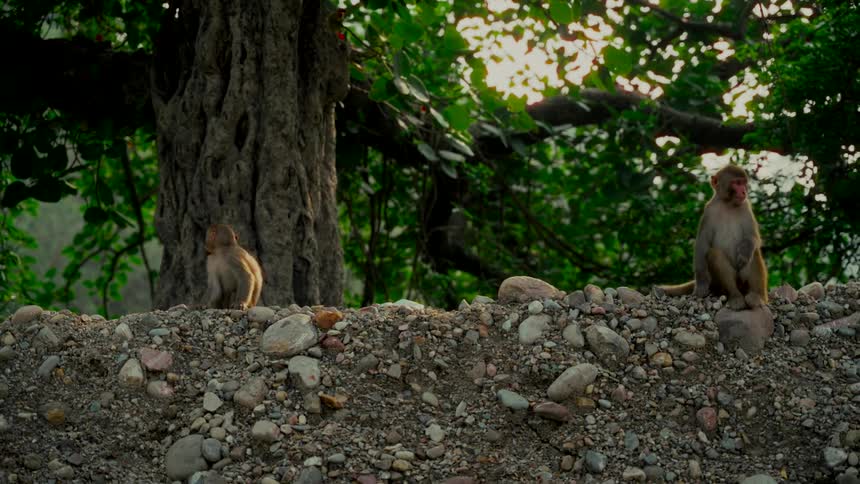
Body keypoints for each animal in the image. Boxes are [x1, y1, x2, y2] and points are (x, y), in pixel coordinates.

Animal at [656, 164, 768, 310]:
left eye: (744, 183)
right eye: (737, 183)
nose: (744, 192)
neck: (728, 204)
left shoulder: (746, 206)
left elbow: (753, 237)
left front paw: (744, 252)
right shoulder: (709, 211)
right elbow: (702, 245)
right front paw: (701, 285)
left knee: (753, 252)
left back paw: (757, 296)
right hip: (717, 284)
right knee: (714, 254)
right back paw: (735, 297)